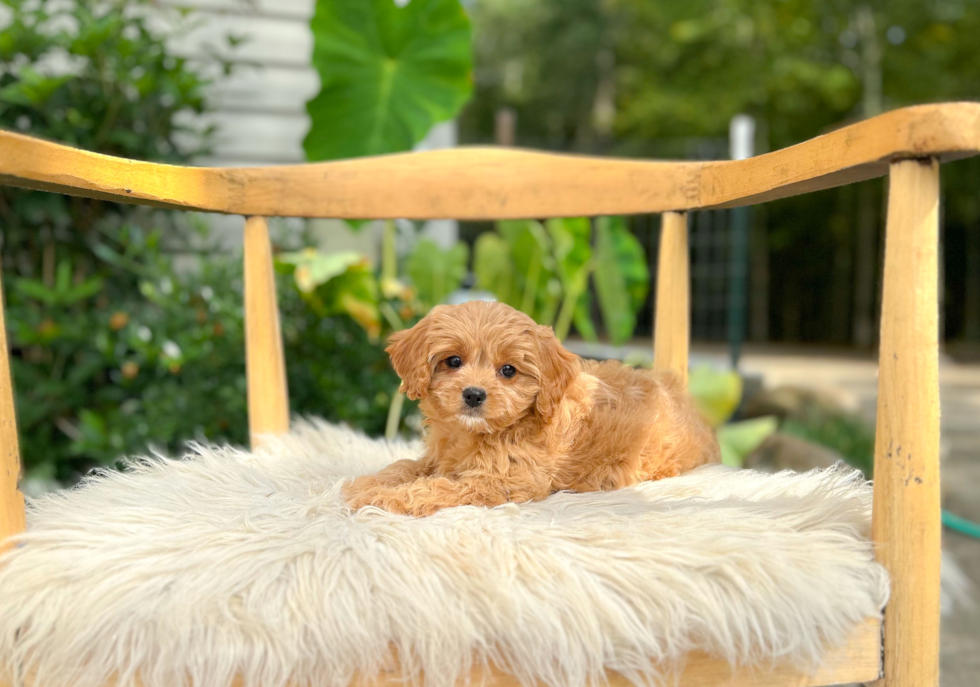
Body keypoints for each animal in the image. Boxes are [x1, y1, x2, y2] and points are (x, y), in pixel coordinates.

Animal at [346, 300, 720, 516]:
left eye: (509, 370)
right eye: (453, 361)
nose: (473, 395)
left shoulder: (503, 481)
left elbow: (439, 487)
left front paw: (380, 498)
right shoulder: (438, 458)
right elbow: (407, 466)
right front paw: (371, 483)